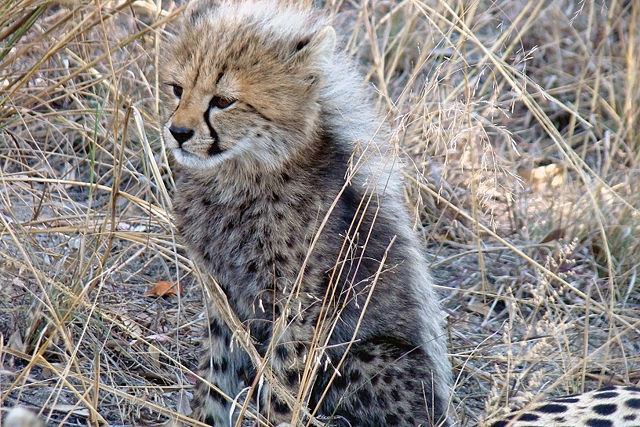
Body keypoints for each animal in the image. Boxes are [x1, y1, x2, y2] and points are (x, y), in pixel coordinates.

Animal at [160, 0, 452, 425]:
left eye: (224, 101)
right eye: (177, 89)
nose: (178, 132)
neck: (242, 175)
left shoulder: (298, 306)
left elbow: (283, 383)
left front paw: (278, 418)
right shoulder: (223, 294)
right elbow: (215, 374)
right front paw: (203, 417)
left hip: (368, 357)